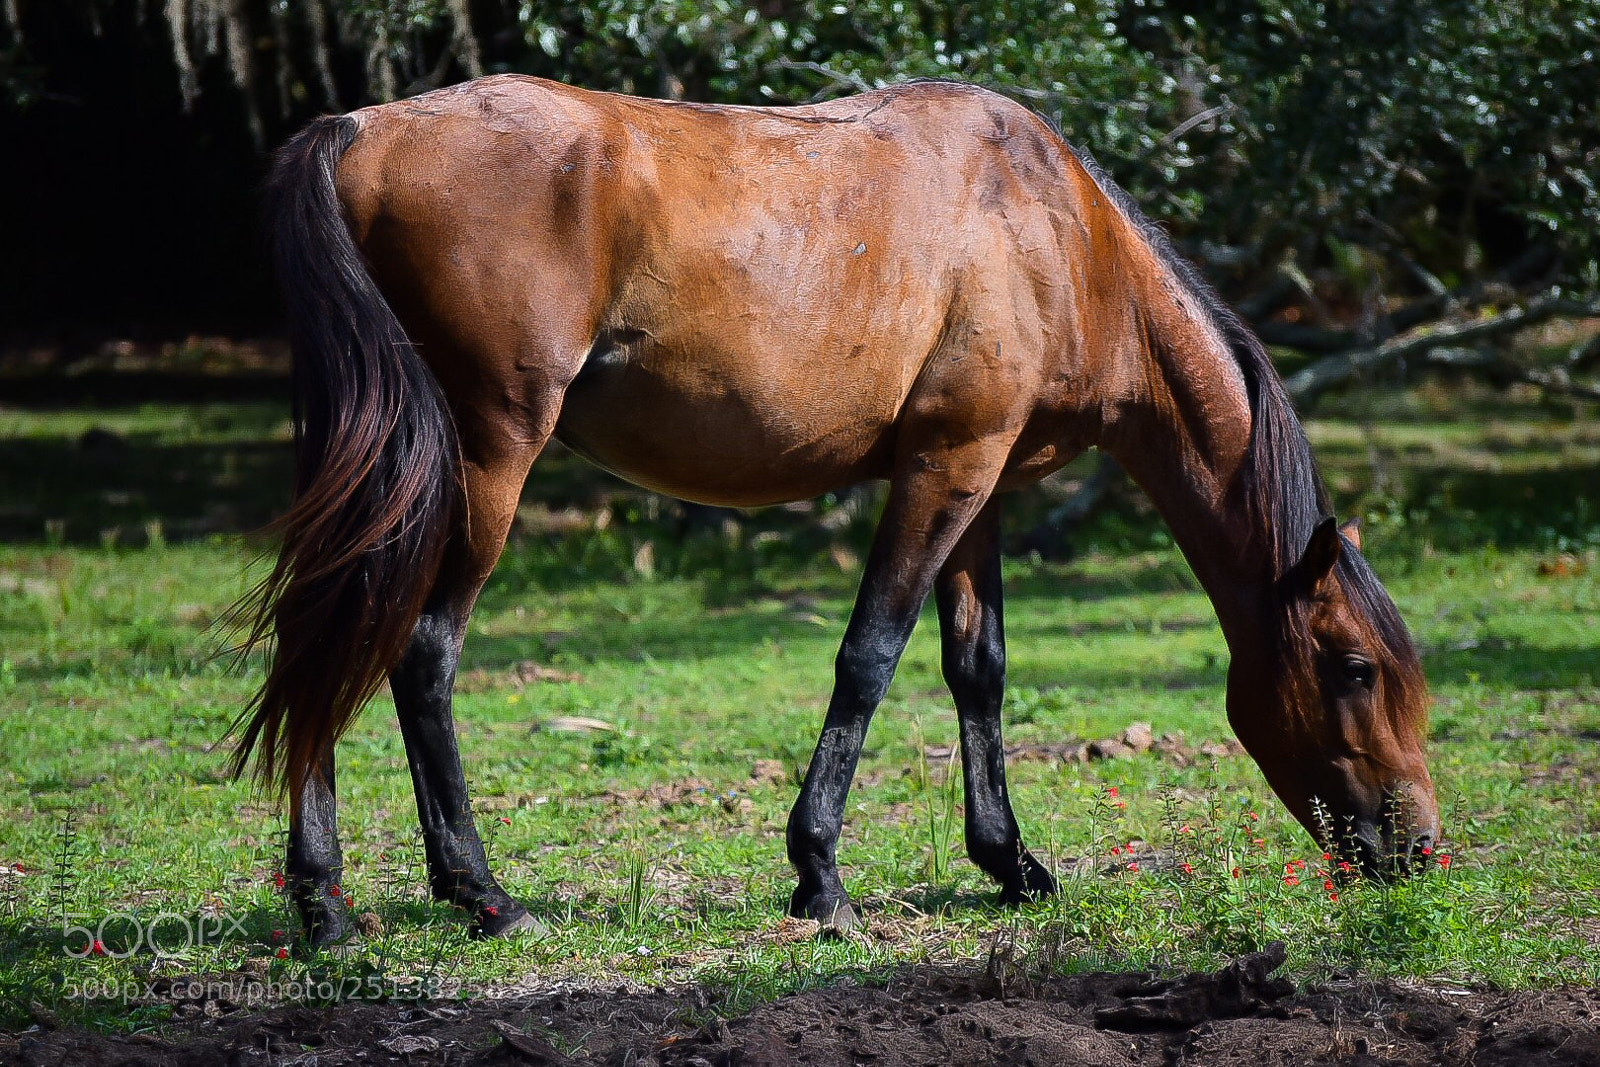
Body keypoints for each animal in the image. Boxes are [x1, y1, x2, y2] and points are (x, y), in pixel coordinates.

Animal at [233, 74, 1439, 943]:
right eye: (1353, 667)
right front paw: (820, 875)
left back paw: (324, 904)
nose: (1420, 849)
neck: (1060, 237)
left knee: (325, 636)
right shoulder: (940, 471)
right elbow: (869, 655)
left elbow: (976, 667)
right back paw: (479, 892)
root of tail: (357, 129)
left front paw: (1009, 861)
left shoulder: (982, 483)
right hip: (487, 460)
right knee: (420, 649)